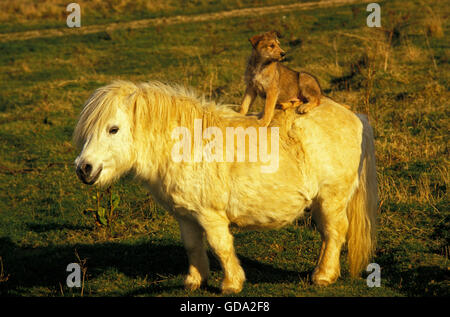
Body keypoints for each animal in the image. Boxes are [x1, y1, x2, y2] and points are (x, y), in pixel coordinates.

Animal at [73, 80, 376, 292]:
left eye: (113, 129)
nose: (84, 168)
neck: (186, 145)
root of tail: (356, 117)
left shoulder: (210, 215)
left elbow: (221, 246)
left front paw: (231, 284)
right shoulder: (185, 216)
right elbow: (193, 246)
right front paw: (194, 282)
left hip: (331, 198)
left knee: (335, 232)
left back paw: (323, 276)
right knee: (329, 235)